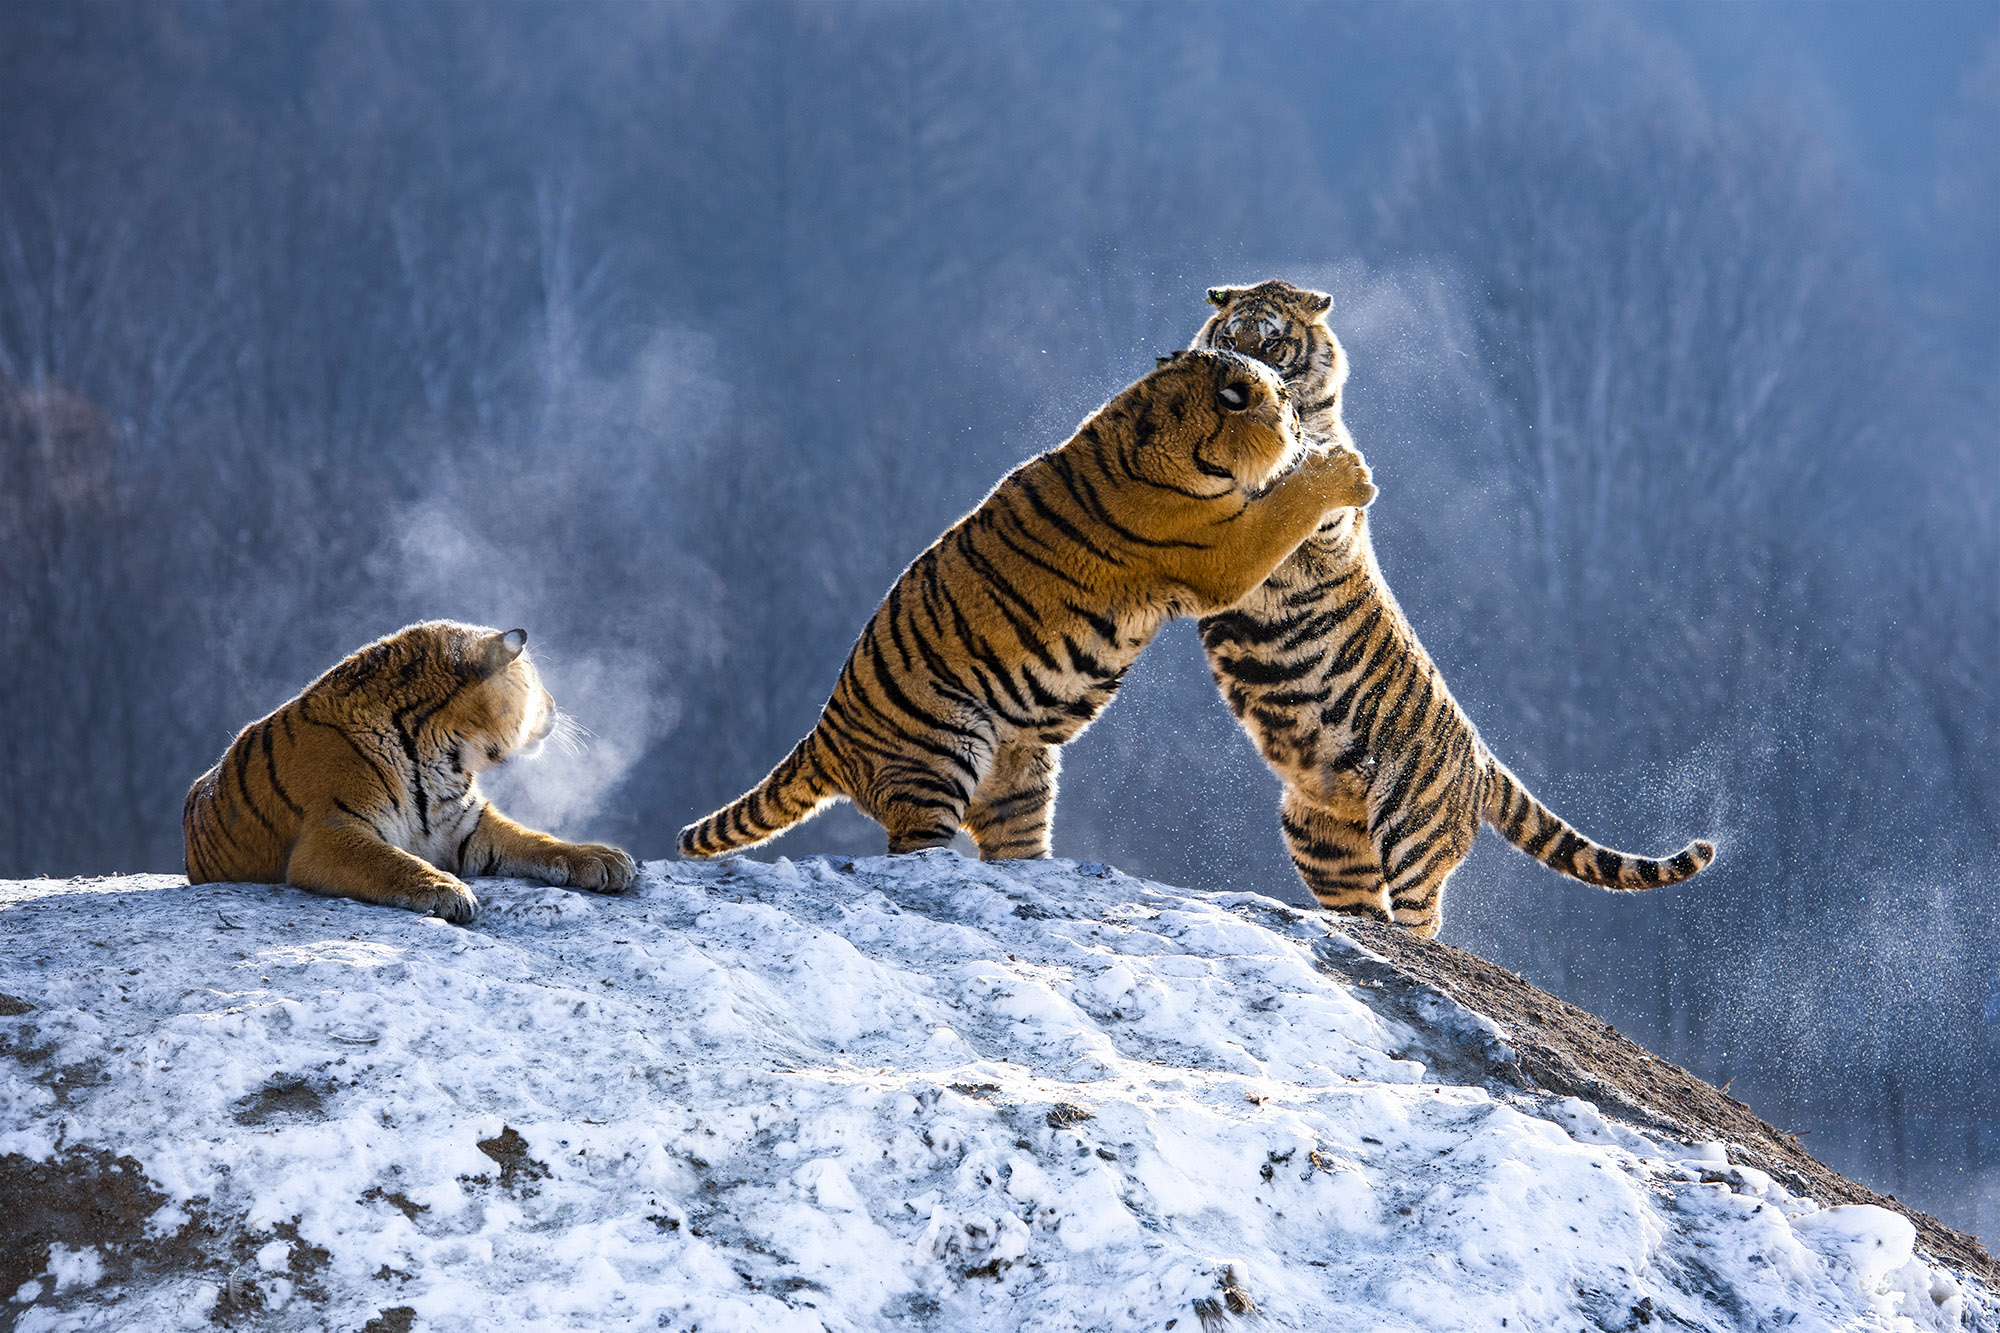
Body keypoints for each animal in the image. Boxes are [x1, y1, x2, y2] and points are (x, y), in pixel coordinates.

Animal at [183, 620, 632, 912]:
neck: (446, 755)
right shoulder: (330, 834)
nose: (554, 705)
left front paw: (603, 859)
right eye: (535, 680)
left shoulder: (468, 827)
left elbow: (536, 840)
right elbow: (389, 861)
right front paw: (445, 889)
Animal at [680, 348, 1384, 856]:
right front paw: (1343, 470)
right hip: (940, 757)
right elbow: (1289, 503)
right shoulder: (1222, 548)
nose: (1298, 410)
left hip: (1020, 777)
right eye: (1285, 400)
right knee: (910, 850)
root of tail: (824, 733)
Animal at [1184, 278, 1720, 932]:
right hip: (1320, 837)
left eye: (1273, 343)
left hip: (1412, 831)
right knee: (1367, 908)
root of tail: (1484, 760)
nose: (1240, 388)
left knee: (1421, 919)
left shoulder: (1324, 525)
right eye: (1230, 338)